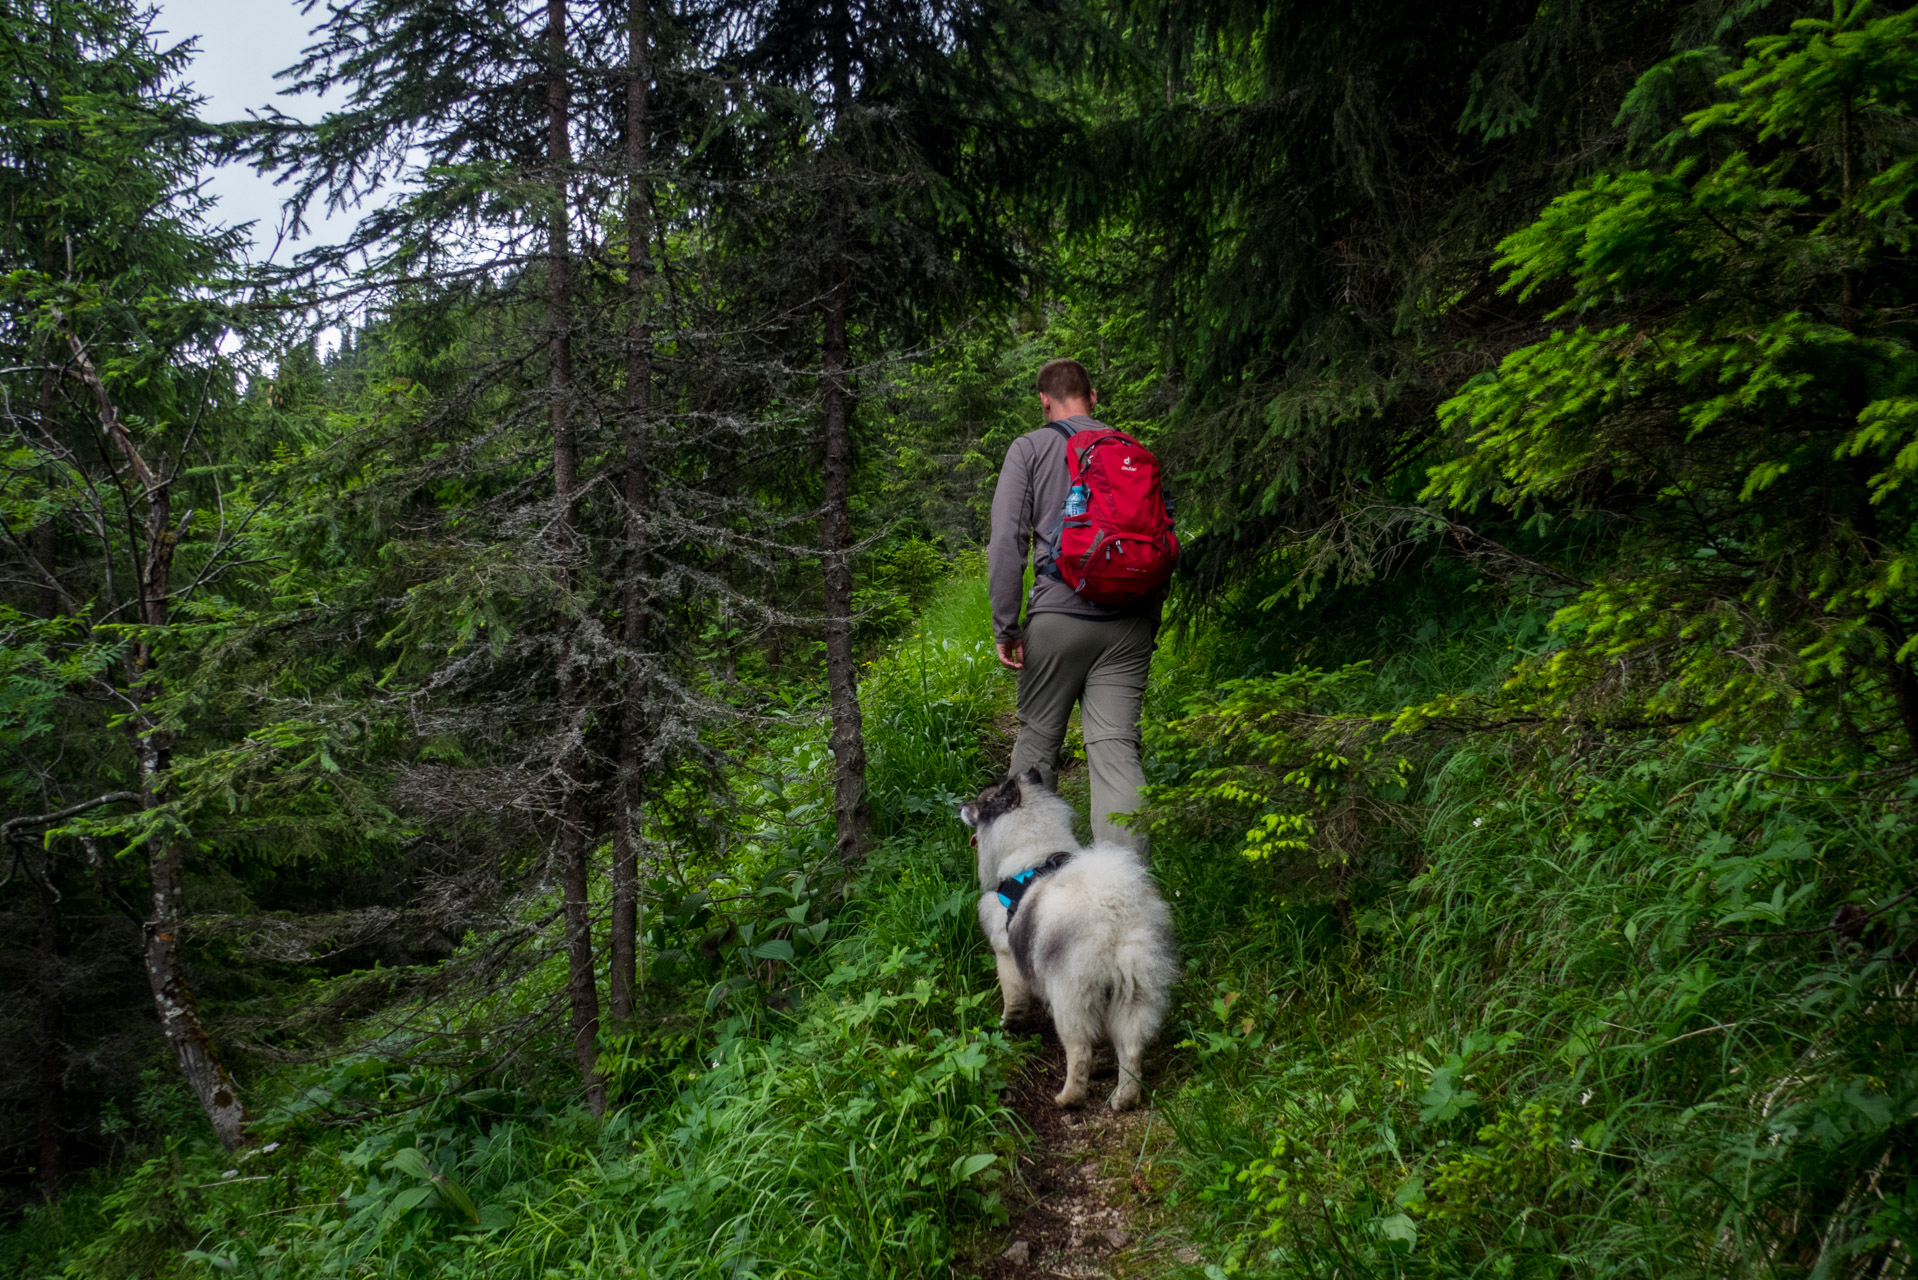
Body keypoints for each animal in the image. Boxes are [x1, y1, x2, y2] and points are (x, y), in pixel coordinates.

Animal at [955, 771, 1173, 1113]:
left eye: (981, 802)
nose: (960, 806)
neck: (1031, 855)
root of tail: (1115, 921)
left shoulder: (1005, 954)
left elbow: (1012, 997)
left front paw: (1008, 1025)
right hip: (1135, 994)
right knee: (1131, 1049)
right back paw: (1123, 1098)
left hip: (1071, 1000)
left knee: (1080, 1050)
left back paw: (1069, 1098)